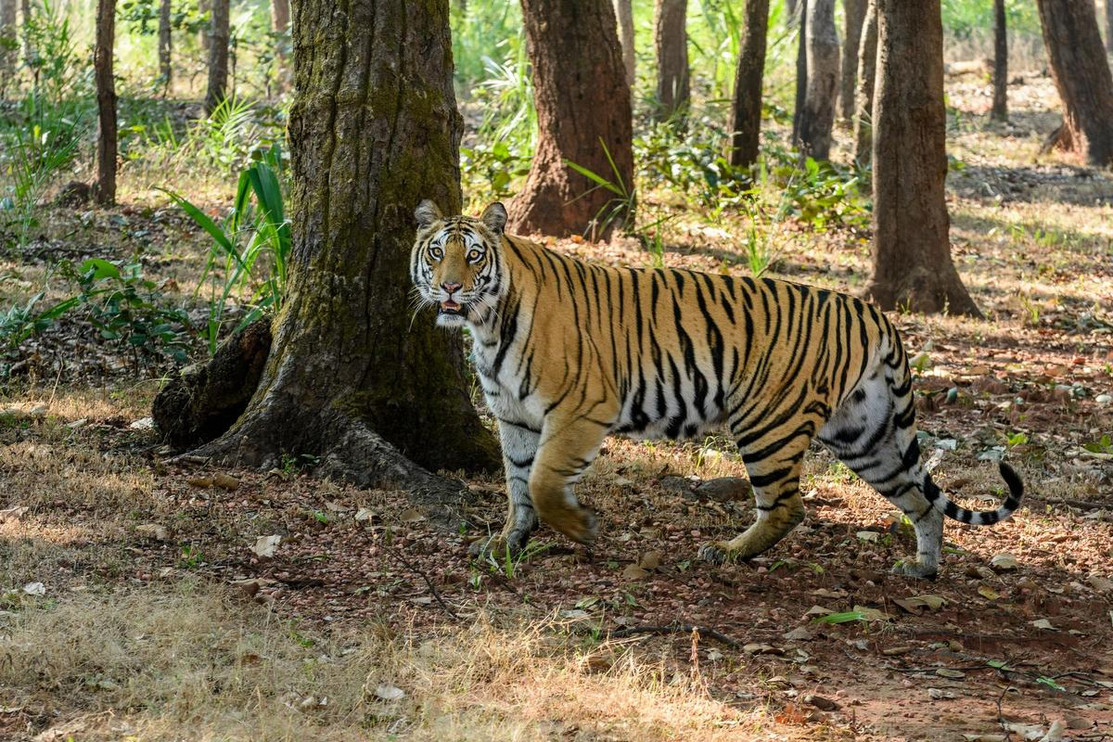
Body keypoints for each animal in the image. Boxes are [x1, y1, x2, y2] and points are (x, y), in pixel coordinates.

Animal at [411, 199, 1023, 578]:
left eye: (473, 255)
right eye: (437, 253)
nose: (450, 289)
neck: (488, 325)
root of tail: (871, 312)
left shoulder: (581, 409)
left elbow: (541, 480)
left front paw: (580, 529)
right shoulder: (512, 416)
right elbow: (517, 484)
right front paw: (508, 541)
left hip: (767, 422)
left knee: (788, 506)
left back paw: (726, 553)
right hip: (864, 434)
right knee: (921, 500)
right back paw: (922, 567)